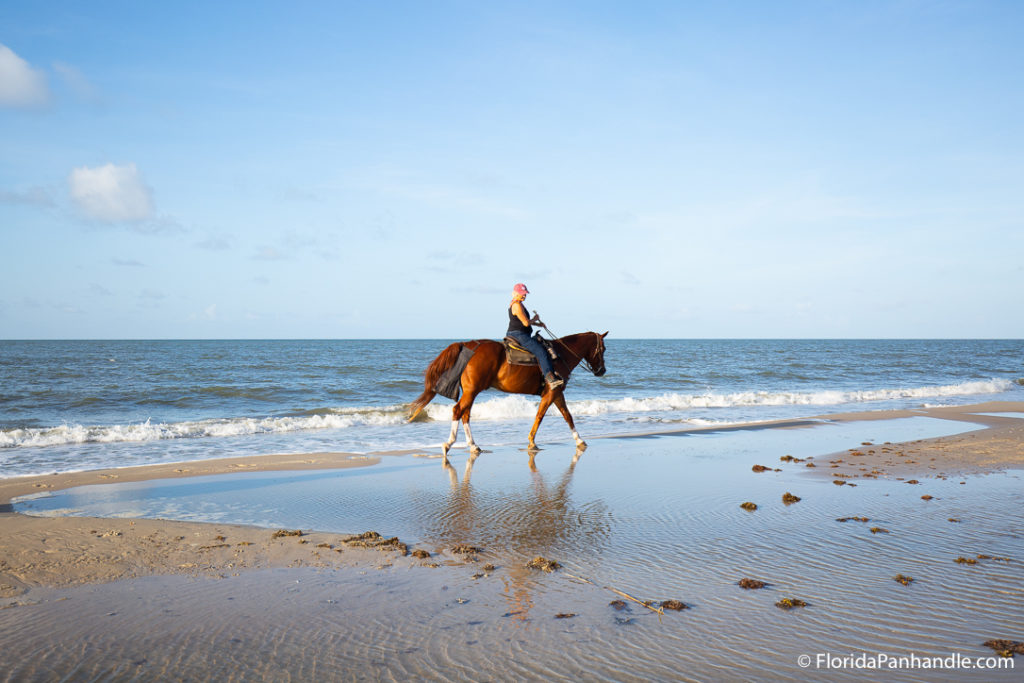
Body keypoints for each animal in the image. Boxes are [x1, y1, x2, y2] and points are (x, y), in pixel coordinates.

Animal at [403, 331, 602, 458]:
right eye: (603, 349)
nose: (602, 370)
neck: (560, 356)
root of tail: (468, 345)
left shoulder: (557, 394)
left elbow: (567, 416)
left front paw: (579, 440)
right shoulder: (551, 393)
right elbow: (540, 416)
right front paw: (532, 442)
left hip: (471, 391)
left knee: (465, 414)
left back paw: (473, 446)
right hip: (472, 391)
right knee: (458, 410)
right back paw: (449, 443)